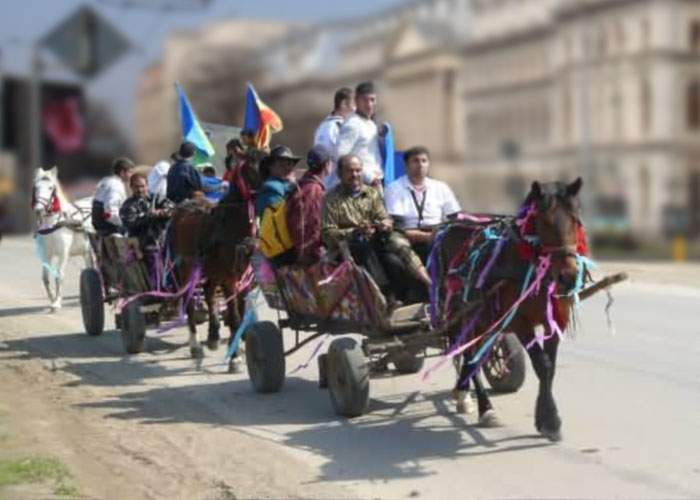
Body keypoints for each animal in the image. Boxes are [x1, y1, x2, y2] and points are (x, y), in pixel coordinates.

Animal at [32, 167, 93, 308]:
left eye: (50, 188)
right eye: (36, 187)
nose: (38, 209)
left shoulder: (63, 253)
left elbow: (59, 275)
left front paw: (57, 302)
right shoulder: (46, 254)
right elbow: (45, 277)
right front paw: (52, 297)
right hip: (87, 251)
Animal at [170, 158, 262, 370]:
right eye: (251, 164)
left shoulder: (244, 277)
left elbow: (240, 312)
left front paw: (240, 343)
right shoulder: (230, 279)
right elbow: (234, 316)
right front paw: (234, 357)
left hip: (211, 270)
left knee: (209, 292)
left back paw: (213, 336)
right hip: (186, 270)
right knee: (189, 301)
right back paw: (195, 345)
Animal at [432, 177, 584, 442]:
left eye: (575, 220)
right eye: (544, 222)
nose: (568, 277)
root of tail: (449, 226)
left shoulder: (555, 319)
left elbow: (551, 368)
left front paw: (544, 418)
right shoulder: (520, 321)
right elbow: (542, 365)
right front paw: (551, 420)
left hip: (483, 315)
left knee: (475, 351)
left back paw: (464, 393)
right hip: (461, 311)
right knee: (471, 353)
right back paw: (484, 407)